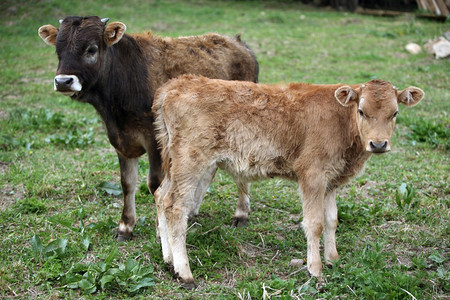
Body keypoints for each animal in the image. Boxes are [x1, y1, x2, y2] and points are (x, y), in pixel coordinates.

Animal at [37, 17, 260, 241]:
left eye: (91, 49)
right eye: (58, 50)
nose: (63, 81)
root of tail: (239, 43)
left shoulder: (155, 141)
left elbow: (155, 184)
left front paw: (161, 230)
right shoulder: (120, 140)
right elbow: (127, 183)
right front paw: (125, 226)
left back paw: (241, 214)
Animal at [153, 74, 424, 286]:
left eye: (395, 113)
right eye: (361, 111)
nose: (378, 144)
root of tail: (178, 84)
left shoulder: (331, 180)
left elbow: (332, 220)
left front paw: (333, 259)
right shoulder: (312, 173)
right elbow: (314, 223)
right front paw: (315, 270)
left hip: (174, 163)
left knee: (160, 196)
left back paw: (168, 260)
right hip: (191, 161)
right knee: (175, 206)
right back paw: (185, 273)